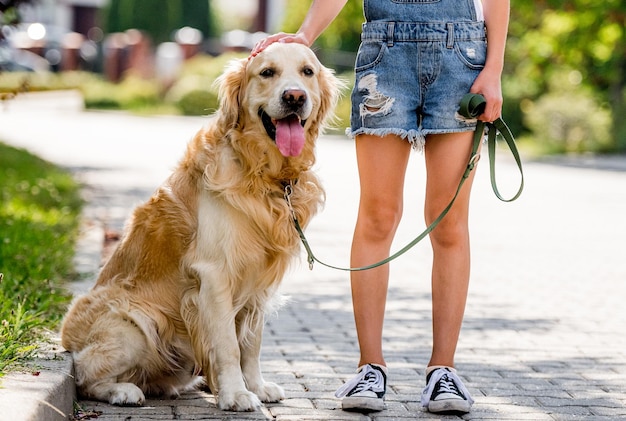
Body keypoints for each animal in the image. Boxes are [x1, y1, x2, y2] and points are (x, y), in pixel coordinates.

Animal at [59, 42, 336, 410]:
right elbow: (229, 346)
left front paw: (257, 386)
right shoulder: (214, 275)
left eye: (307, 72)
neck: (263, 174)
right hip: (135, 322)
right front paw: (236, 394)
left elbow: (252, 345)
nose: (295, 97)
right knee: (85, 374)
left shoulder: (258, 284)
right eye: (267, 72)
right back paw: (123, 390)